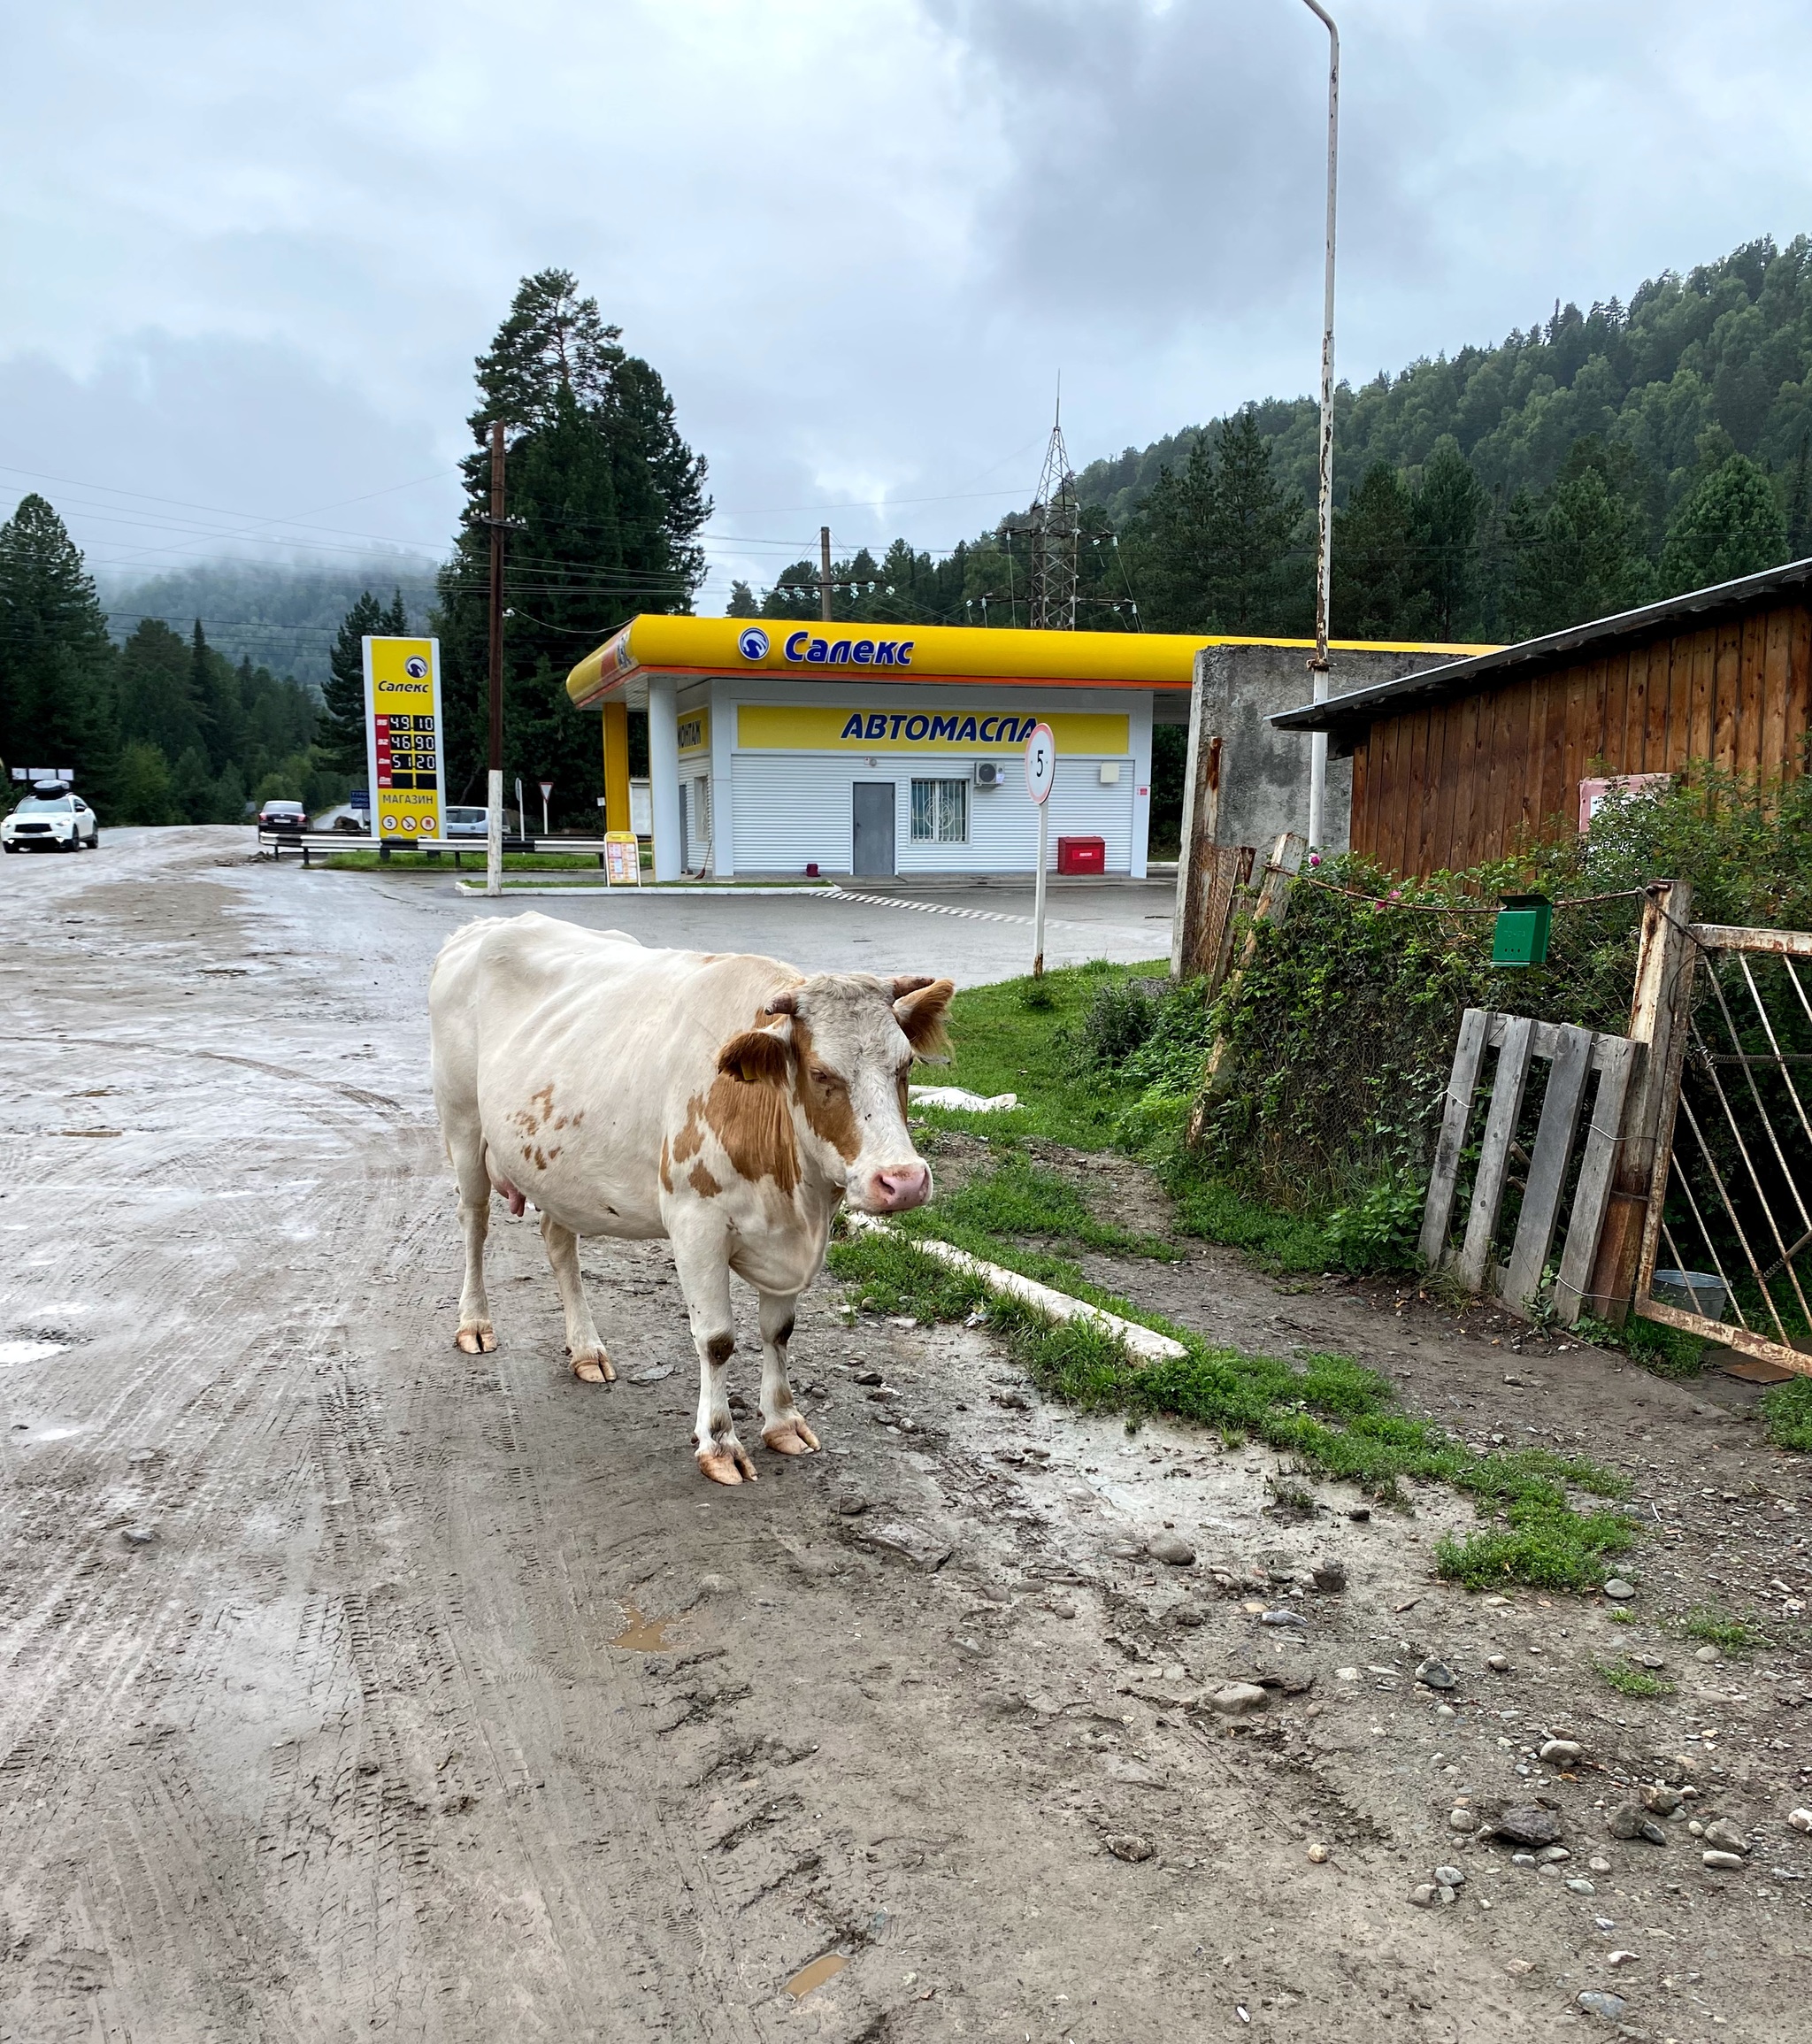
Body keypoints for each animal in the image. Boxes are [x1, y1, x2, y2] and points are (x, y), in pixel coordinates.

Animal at [431, 919, 956, 1479]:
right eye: (820, 1073)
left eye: (906, 1064)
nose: (903, 1180)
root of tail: (486, 926)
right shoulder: (695, 1223)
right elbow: (717, 1339)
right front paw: (719, 1443)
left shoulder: (790, 1235)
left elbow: (779, 1330)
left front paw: (783, 1423)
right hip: (463, 1125)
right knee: (474, 1223)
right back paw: (475, 1323)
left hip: (559, 1171)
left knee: (558, 1242)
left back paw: (587, 1349)